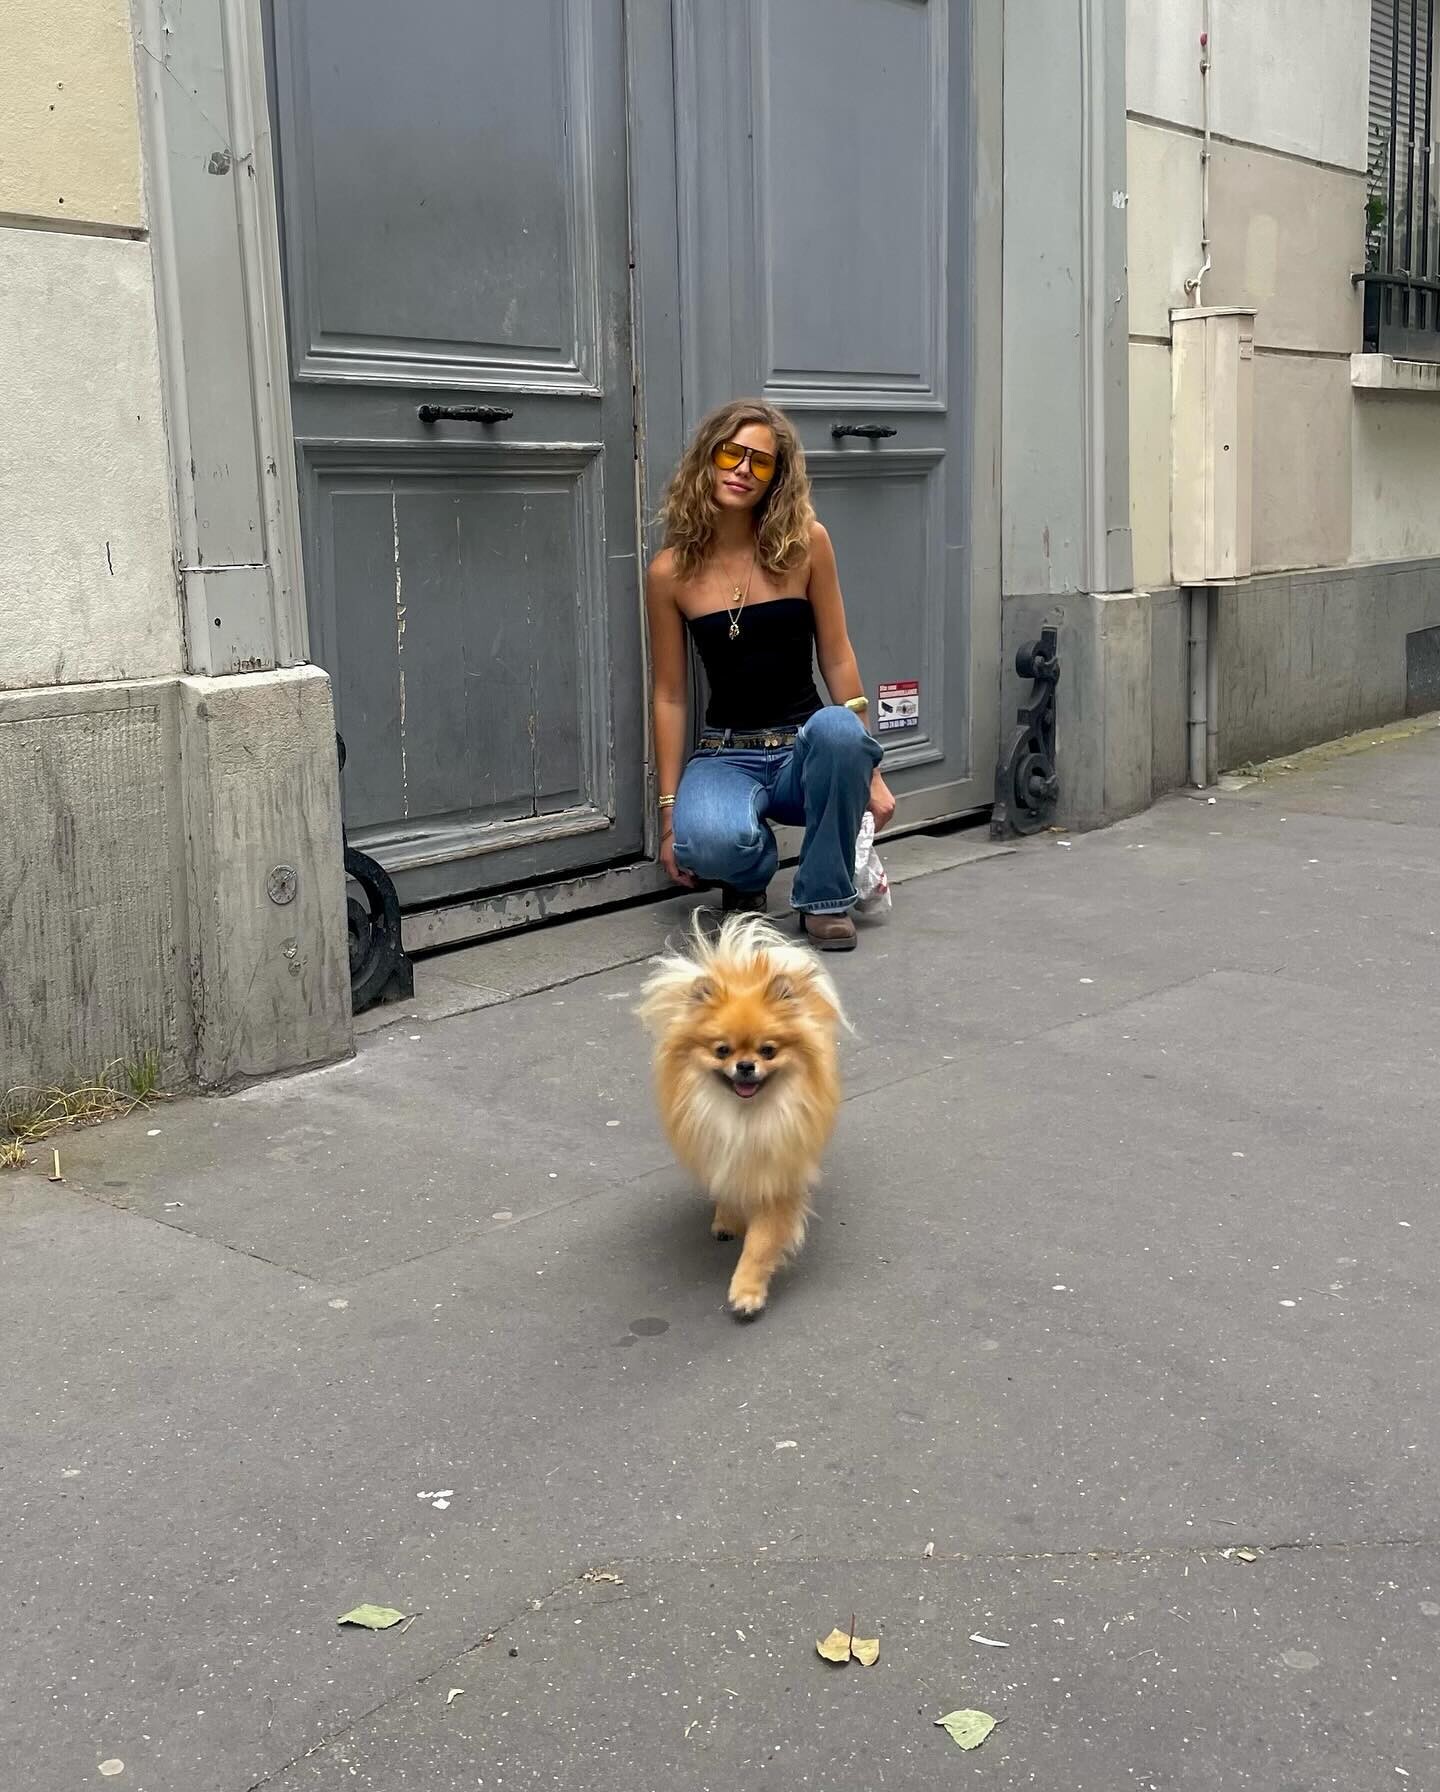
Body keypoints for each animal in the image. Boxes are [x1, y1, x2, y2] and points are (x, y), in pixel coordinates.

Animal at [637, 911, 846, 1319]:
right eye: (722, 1050)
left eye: (768, 1050)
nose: (746, 1065)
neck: (744, 1116)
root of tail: (741, 966)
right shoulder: (722, 1151)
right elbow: (729, 1188)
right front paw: (729, 1218)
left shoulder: (778, 1175)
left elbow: (761, 1243)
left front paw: (747, 1291)